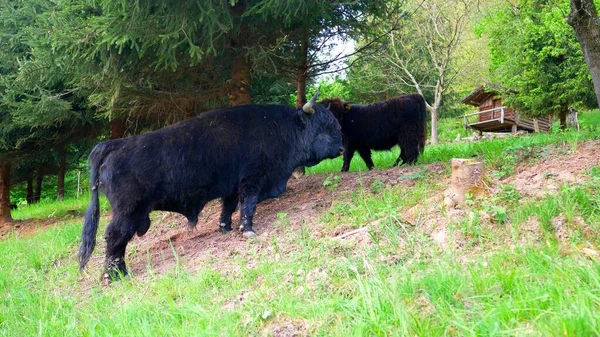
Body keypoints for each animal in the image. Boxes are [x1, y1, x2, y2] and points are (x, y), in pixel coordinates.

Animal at [79, 90, 342, 280]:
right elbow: (248, 206)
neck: (282, 127)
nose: (341, 148)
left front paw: (225, 228)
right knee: (114, 237)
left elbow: (229, 207)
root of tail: (115, 144)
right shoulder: (252, 180)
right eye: (323, 127)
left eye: (336, 125)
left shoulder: (232, 187)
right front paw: (248, 231)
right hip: (128, 212)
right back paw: (116, 275)